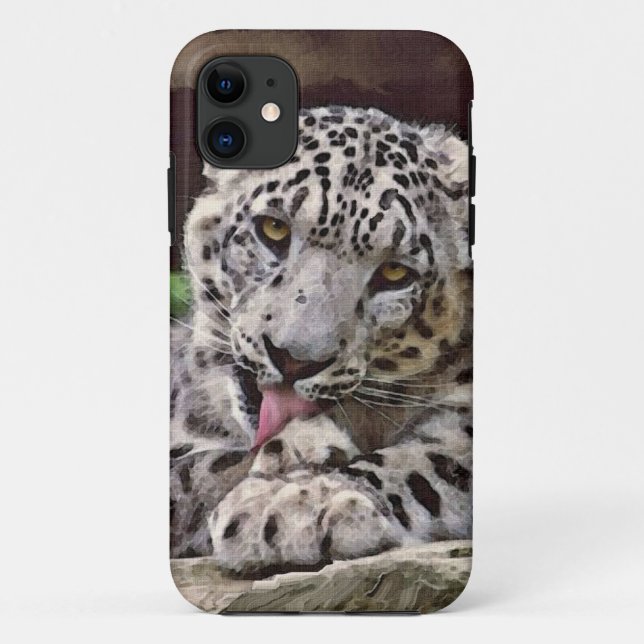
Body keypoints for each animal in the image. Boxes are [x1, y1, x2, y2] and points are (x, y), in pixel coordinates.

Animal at [170, 105, 473, 575]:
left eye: (395, 272)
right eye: (273, 229)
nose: (294, 359)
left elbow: (429, 459)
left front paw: (294, 504)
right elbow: (193, 469)